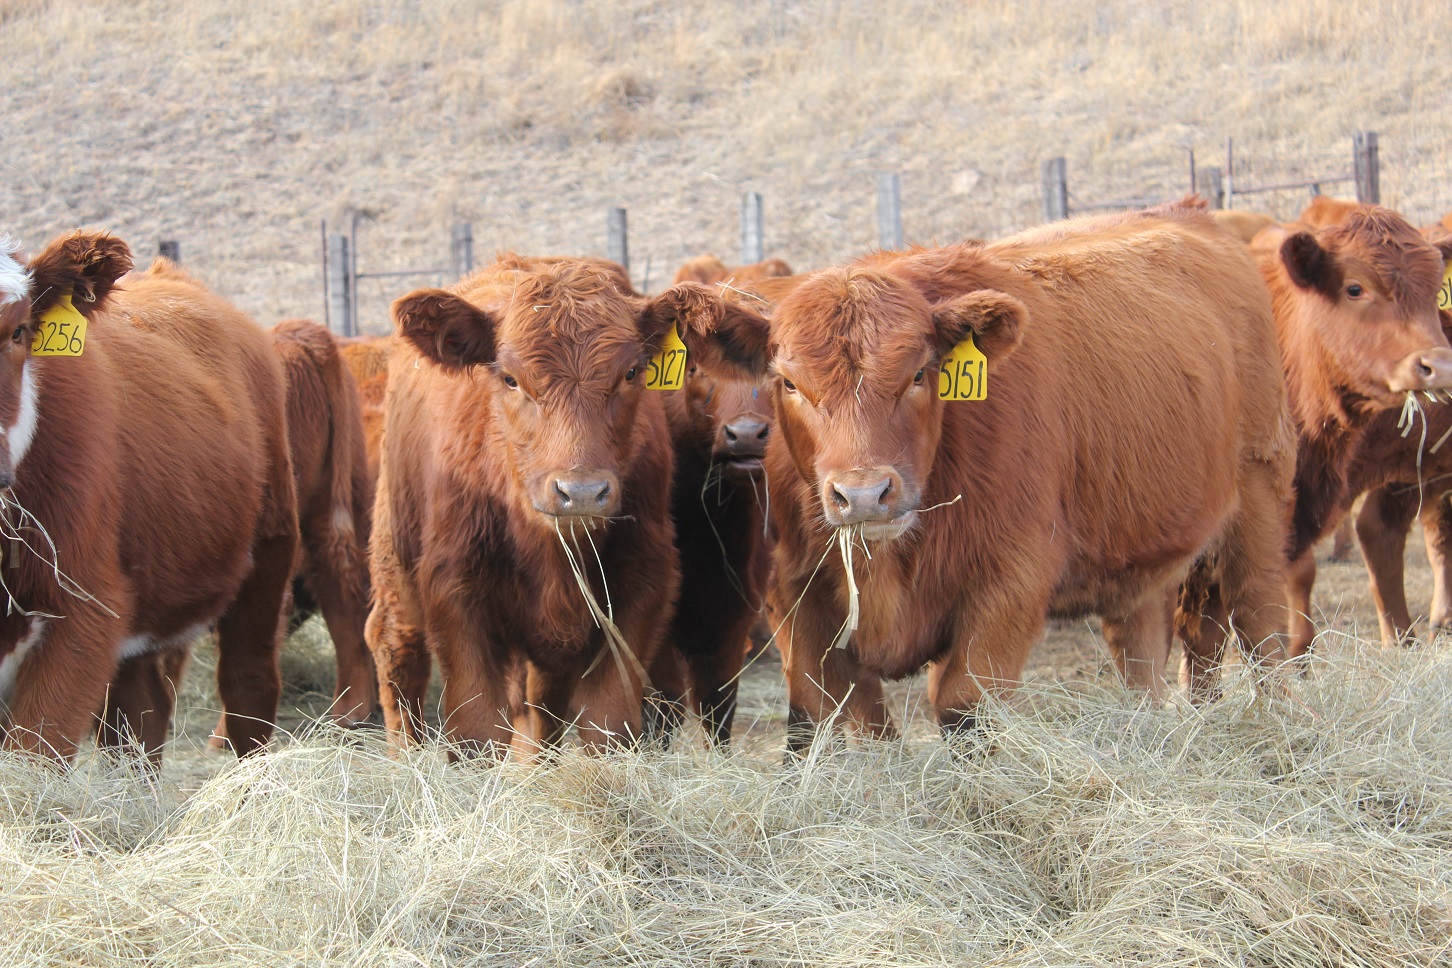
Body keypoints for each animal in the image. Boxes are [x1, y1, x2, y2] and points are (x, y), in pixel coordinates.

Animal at [0, 235, 296, 766]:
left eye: (16, 331)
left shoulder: (84, 613)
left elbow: (32, 757)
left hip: (269, 551)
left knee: (249, 689)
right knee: (140, 713)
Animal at [360, 253, 682, 760]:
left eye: (631, 373)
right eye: (511, 379)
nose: (581, 491)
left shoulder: (643, 586)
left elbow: (608, 723)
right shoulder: (456, 590)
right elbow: (475, 730)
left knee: (539, 705)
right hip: (395, 553)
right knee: (397, 649)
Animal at [659, 198, 1295, 743]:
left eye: (920, 373)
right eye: (788, 382)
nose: (864, 495)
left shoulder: (1011, 581)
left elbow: (966, 707)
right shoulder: (798, 603)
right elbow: (846, 719)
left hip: (1259, 498)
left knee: (1261, 624)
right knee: (1148, 645)